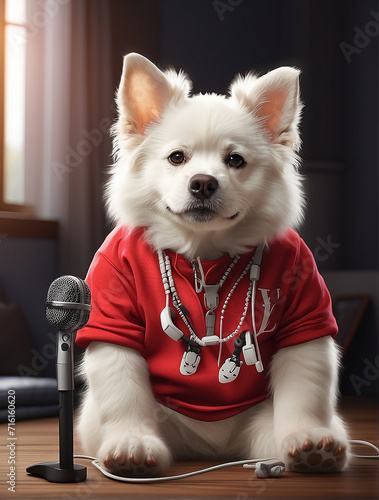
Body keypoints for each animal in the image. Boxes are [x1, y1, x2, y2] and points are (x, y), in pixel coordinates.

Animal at [76, 52, 350, 474]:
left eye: (235, 160)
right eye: (176, 158)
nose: (203, 182)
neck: (204, 253)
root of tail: (210, 450)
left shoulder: (305, 314)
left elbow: (304, 389)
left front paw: (307, 438)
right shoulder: (111, 314)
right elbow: (124, 393)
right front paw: (132, 443)